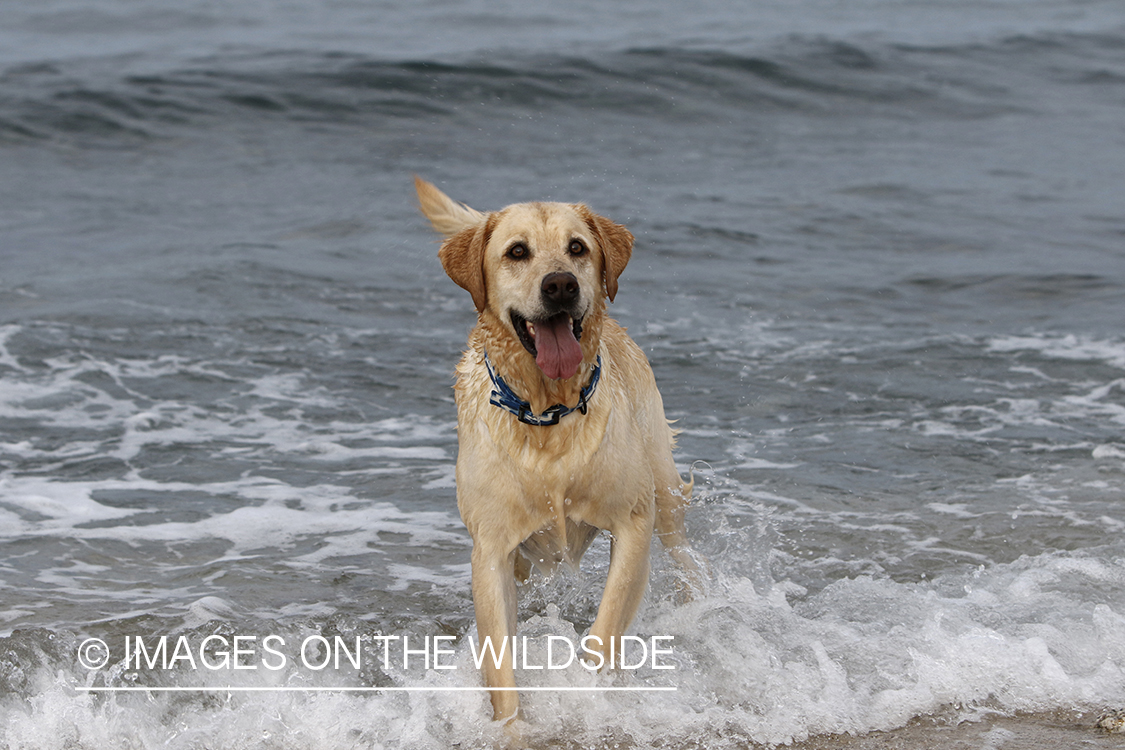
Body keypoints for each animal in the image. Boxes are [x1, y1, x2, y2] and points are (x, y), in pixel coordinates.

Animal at [418, 178, 697, 724]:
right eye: (517, 252)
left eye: (577, 248)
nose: (561, 285)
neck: (548, 414)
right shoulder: (492, 550)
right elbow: (501, 672)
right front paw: (511, 729)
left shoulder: (633, 523)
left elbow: (605, 631)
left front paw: (587, 691)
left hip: (665, 490)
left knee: (685, 554)